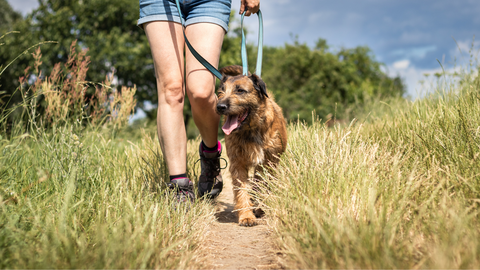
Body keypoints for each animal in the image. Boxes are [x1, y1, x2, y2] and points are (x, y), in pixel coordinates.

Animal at [216, 65, 286, 226]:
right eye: (221, 91)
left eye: (240, 90)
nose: (220, 106)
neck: (250, 130)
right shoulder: (238, 163)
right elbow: (242, 190)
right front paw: (246, 216)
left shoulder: (268, 162)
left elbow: (262, 185)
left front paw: (258, 207)